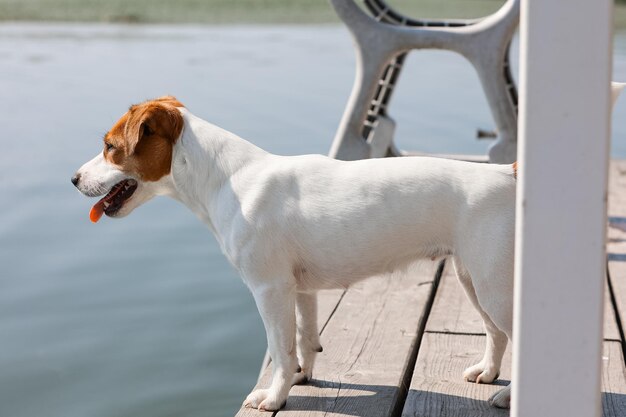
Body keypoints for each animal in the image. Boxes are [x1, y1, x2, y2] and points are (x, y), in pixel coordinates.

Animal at [72, 96, 516, 410]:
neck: (229, 179)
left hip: (494, 287)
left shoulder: (269, 290)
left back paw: (508, 398)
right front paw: (303, 377)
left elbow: (280, 351)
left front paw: (274, 398)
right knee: (496, 334)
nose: (74, 178)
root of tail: (507, 172)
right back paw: (487, 374)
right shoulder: (301, 291)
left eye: (110, 146)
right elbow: (304, 339)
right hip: (473, 280)